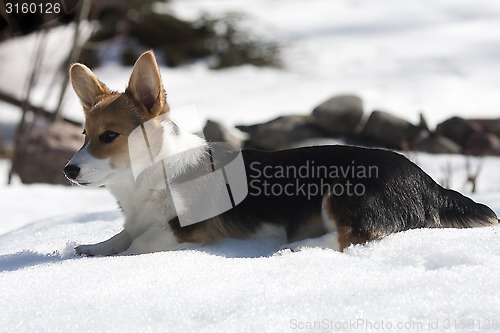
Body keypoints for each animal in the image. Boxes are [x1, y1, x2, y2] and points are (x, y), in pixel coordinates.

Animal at [64, 50, 498, 255]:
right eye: (84, 134)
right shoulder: (138, 220)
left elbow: (138, 243)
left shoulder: (184, 229)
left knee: (353, 237)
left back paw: (297, 247)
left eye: (110, 136)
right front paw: (91, 248)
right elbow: (120, 236)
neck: (149, 176)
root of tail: (430, 184)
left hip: (343, 194)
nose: (68, 171)